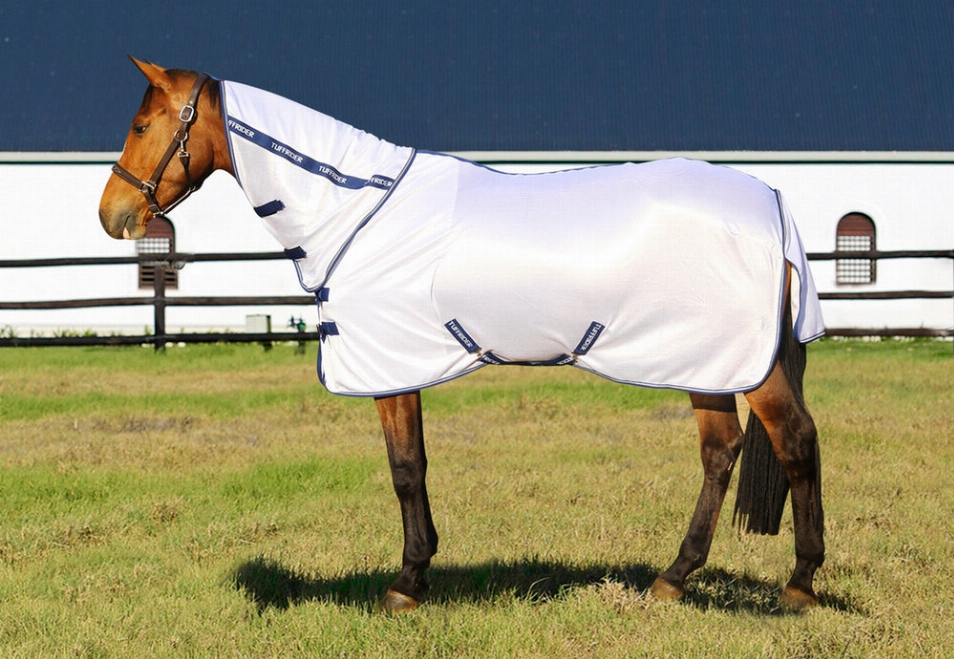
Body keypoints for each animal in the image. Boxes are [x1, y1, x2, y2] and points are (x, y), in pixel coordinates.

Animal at [99, 58, 825, 613]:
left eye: (141, 125)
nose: (114, 214)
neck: (355, 210)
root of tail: (774, 206)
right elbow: (415, 463)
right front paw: (416, 575)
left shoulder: (391, 365)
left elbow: (405, 469)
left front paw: (405, 584)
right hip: (706, 362)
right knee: (721, 451)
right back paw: (672, 580)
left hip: (743, 365)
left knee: (794, 440)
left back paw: (799, 585)